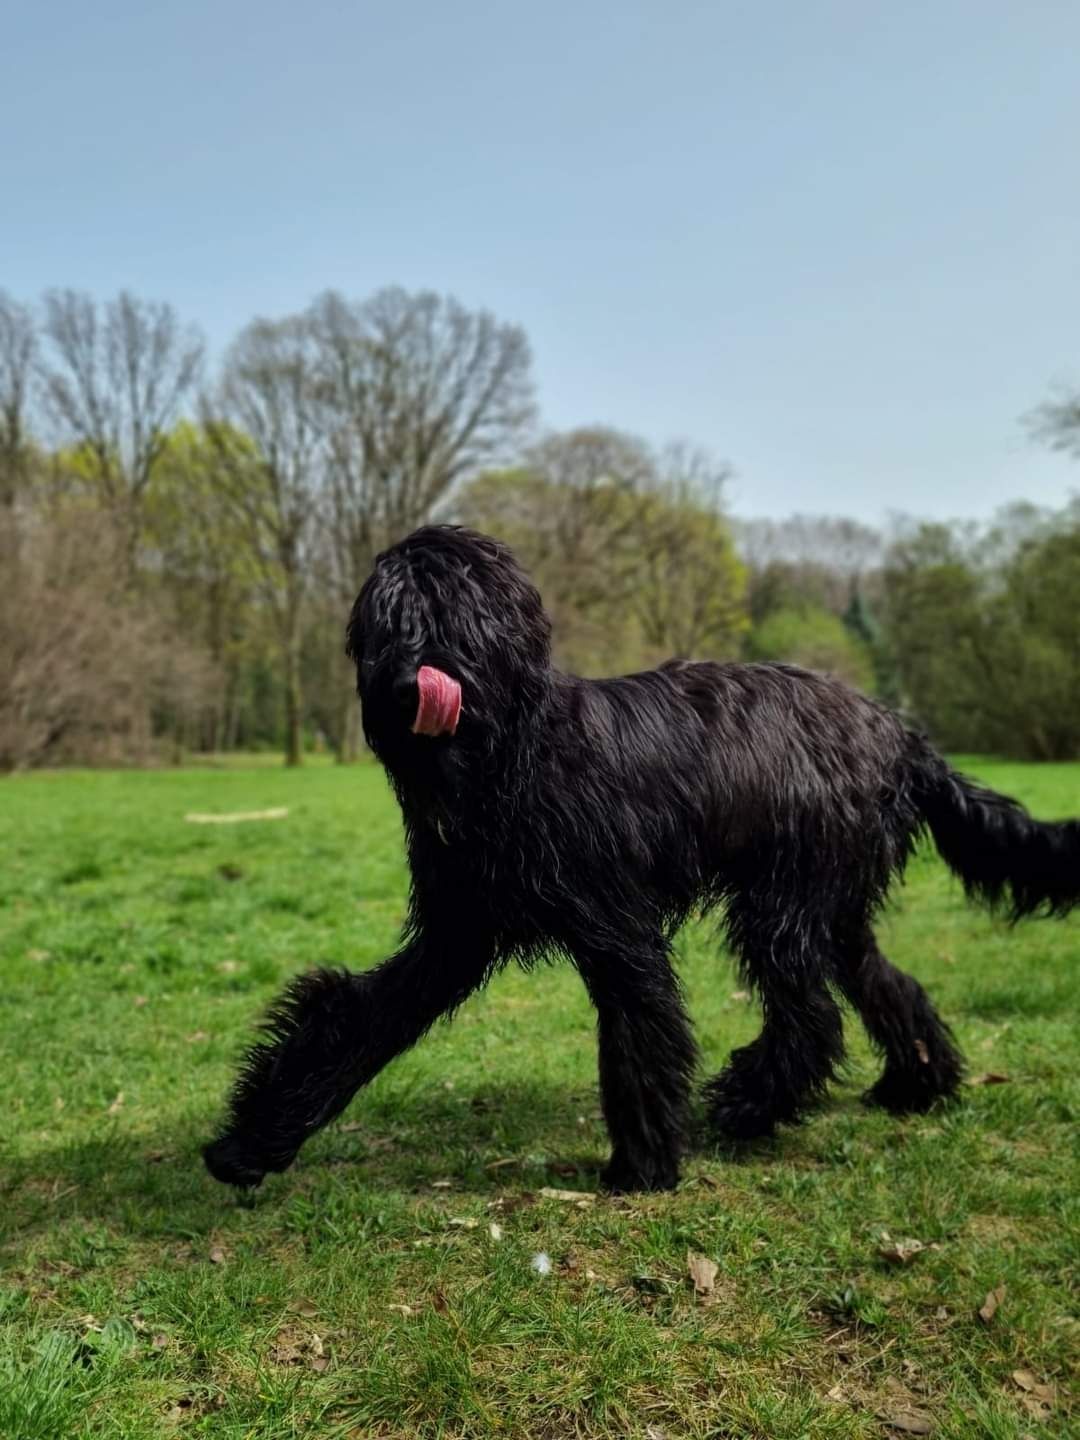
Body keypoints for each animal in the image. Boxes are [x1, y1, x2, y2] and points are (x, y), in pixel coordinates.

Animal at [204, 527, 1080, 1192]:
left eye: (461, 619)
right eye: (388, 623)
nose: (415, 681)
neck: (513, 760)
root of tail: (901, 734)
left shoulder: (615, 927)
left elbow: (640, 1032)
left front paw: (643, 1166)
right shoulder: (454, 933)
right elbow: (351, 1020)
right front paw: (250, 1142)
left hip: (787, 897)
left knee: (812, 1014)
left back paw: (747, 1106)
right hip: (834, 901)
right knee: (886, 983)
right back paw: (914, 1086)